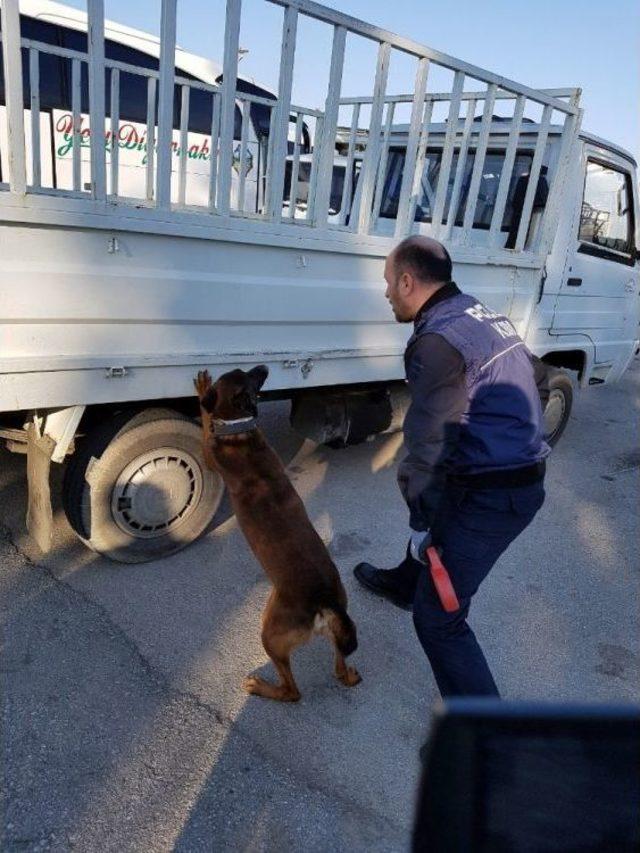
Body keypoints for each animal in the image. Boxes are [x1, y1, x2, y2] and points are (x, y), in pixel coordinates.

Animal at [192, 366, 362, 700]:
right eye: (249, 374)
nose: (264, 367)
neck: (240, 430)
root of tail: (325, 601)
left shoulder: (210, 452)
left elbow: (206, 418)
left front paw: (203, 389)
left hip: (270, 636)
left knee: (292, 692)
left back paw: (261, 687)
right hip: (332, 624)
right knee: (338, 665)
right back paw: (348, 674)